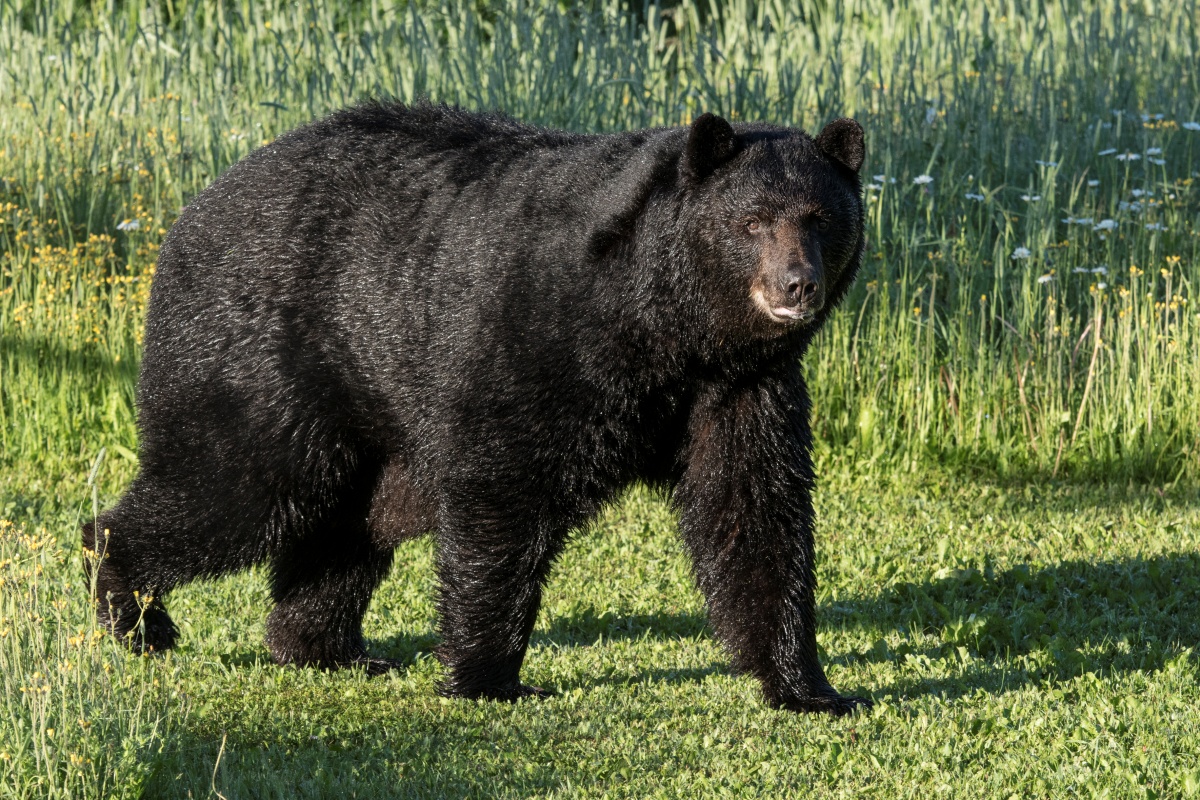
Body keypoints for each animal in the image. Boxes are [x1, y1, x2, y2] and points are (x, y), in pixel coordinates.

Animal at [83, 101, 870, 715]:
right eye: (751, 221)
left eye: (820, 216)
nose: (796, 284)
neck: (666, 329)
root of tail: (193, 209)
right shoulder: (538, 338)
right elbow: (503, 491)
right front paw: (490, 678)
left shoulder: (740, 391)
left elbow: (754, 511)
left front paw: (808, 687)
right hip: (267, 354)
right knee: (239, 487)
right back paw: (134, 610)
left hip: (375, 416)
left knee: (349, 526)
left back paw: (323, 647)